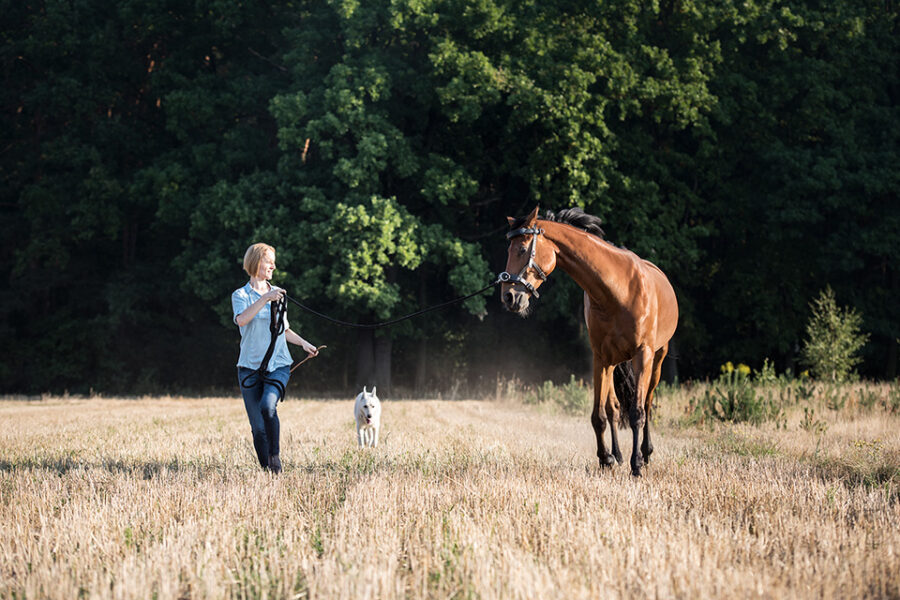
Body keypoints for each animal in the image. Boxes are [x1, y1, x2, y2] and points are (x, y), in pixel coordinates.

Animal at [500, 206, 678, 477]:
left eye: (521, 249)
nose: (509, 297)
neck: (617, 289)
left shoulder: (643, 355)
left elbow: (637, 412)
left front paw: (636, 465)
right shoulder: (601, 358)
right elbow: (599, 416)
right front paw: (606, 459)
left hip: (657, 359)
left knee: (647, 404)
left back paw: (645, 453)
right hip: (614, 363)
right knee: (613, 408)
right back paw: (618, 454)